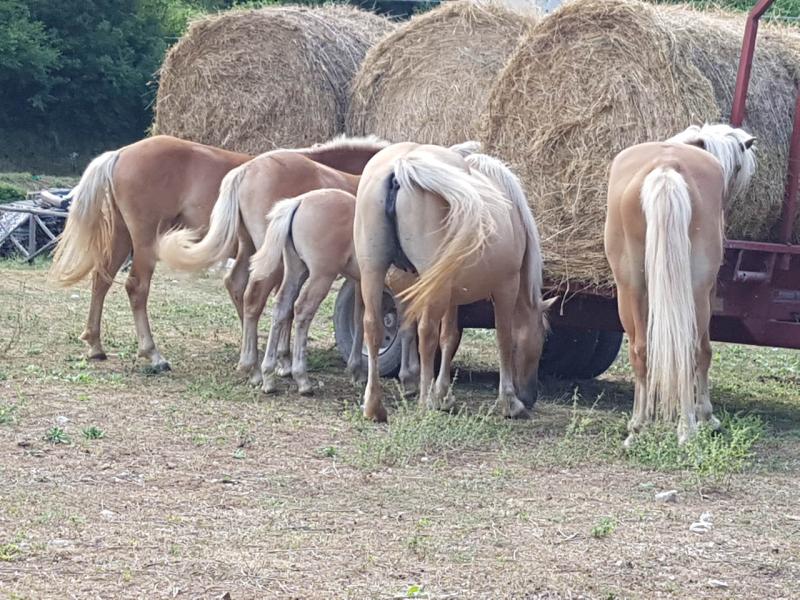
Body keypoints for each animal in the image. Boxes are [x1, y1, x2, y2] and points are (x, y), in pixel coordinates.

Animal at [157, 136, 390, 382]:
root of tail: (245, 171)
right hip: (273, 261)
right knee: (255, 297)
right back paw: (258, 368)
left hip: (250, 249)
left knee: (239, 286)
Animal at [353, 143, 553, 422]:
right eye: (542, 337)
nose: (531, 396)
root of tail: (403, 165)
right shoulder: (507, 287)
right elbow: (503, 338)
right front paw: (509, 402)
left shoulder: (452, 295)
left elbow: (449, 337)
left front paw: (443, 396)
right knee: (426, 332)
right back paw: (424, 404)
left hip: (374, 271)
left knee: (373, 327)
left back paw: (374, 406)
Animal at [604, 123, 756, 447]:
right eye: (738, 166)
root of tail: (666, 167)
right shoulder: (709, 292)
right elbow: (703, 352)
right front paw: (706, 415)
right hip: (696, 290)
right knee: (693, 349)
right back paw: (688, 427)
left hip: (630, 286)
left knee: (641, 348)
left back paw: (639, 427)